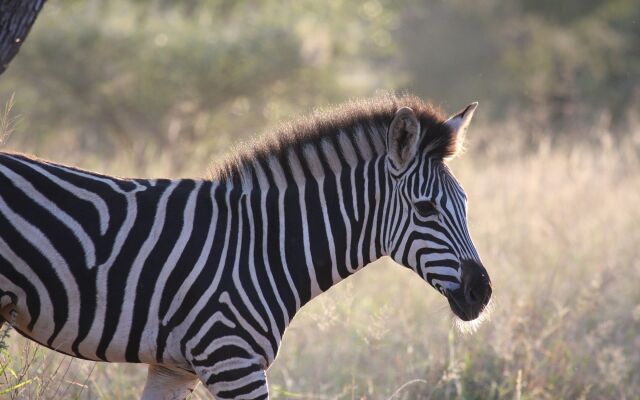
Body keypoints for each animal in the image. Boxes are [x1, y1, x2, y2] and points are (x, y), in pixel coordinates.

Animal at [0, 94, 492, 400]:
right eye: (425, 209)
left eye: (467, 205)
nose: (482, 293)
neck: (263, 245)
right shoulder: (232, 360)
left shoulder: (173, 367)